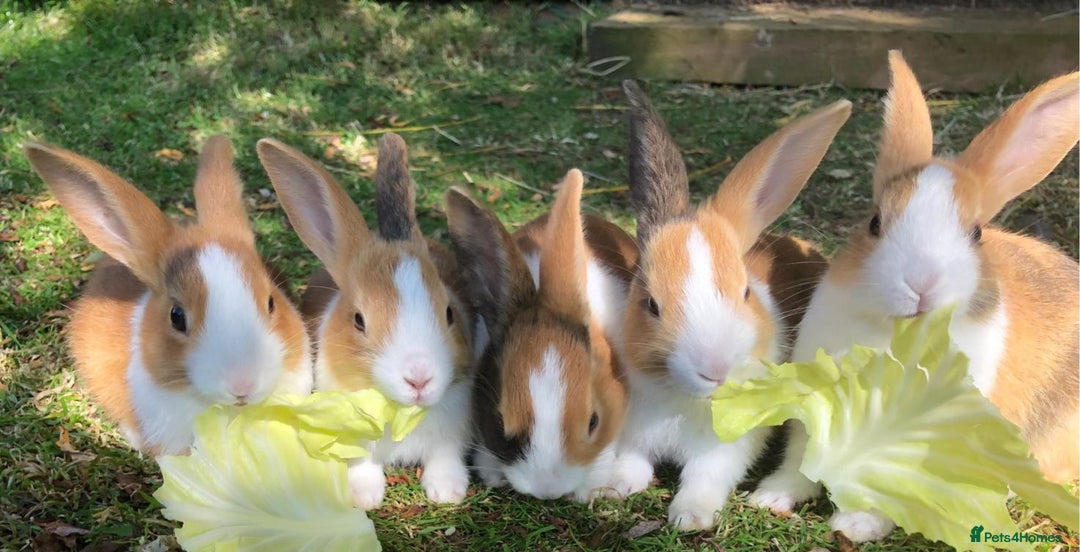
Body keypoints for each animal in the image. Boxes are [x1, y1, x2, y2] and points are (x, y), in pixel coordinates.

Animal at [256, 133, 476, 510]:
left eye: (450, 312)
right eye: (359, 320)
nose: (419, 378)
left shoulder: (452, 430)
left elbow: (444, 456)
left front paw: (448, 492)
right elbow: (361, 462)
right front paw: (363, 497)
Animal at [607, 80, 849, 530]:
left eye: (745, 293)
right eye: (651, 304)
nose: (715, 370)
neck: (686, 398)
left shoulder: (727, 448)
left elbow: (705, 477)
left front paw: (691, 516)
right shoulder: (633, 432)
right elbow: (631, 462)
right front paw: (611, 488)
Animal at [758, 50, 1080, 543]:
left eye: (976, 233)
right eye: (874, 222)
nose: (921, 284)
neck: (898, 332)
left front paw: (857, 524)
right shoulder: (812, 406)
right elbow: (800, 457)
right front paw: (771, 496)